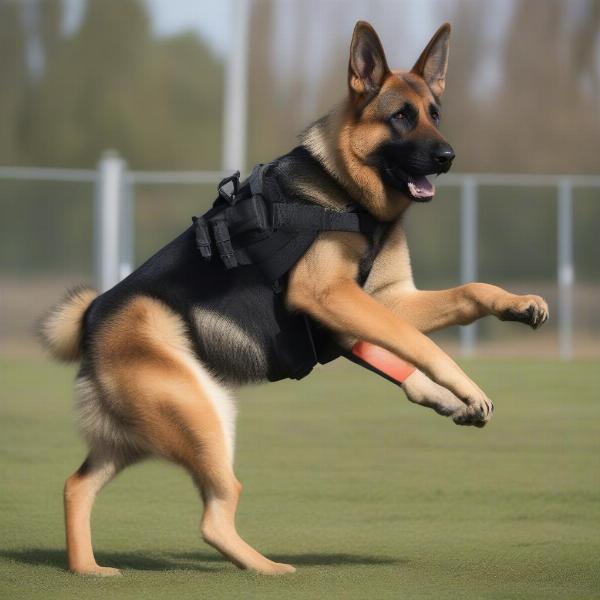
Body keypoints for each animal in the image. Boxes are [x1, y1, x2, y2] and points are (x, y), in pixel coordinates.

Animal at [41, 22, 548, 576]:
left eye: (434, 114)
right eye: (400, 117)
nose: (448, 156)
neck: (343, 189)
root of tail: (91, 320)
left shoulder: (387, 299)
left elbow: (465, 297)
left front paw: (517, 307)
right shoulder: (332, 297)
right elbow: (419, 345)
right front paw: (465, 387)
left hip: (140, 435)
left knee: (75, 486)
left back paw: (88, 569)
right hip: (204, 415)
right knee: (212, 517)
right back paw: (268, 568)